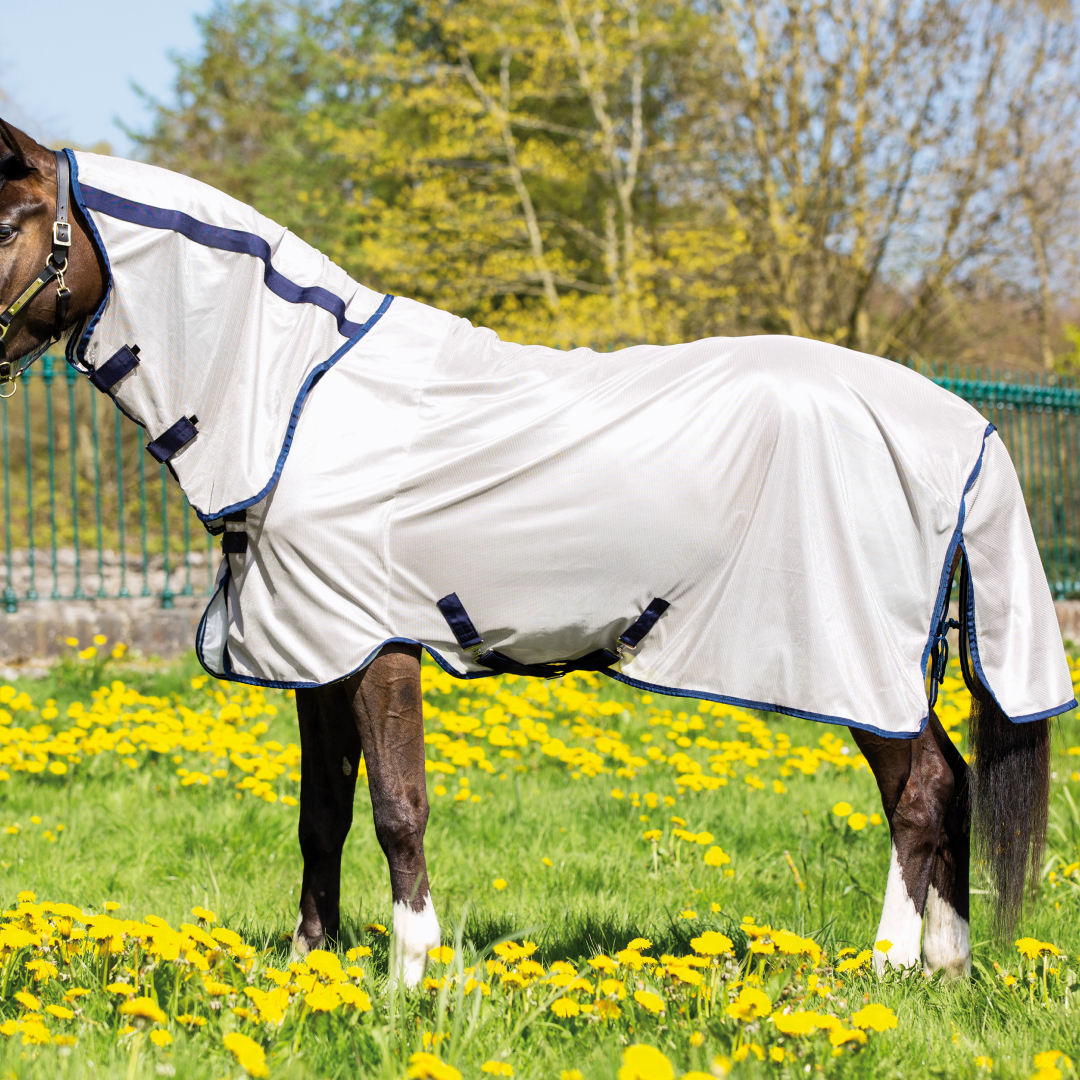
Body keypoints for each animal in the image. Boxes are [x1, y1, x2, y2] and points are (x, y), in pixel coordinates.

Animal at [0, 119, 1072, 987]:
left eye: (11, 223)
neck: (299, 396)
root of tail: (959, 421)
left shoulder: (377, 646)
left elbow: (397, 807)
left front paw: (412, 974)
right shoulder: (319, 653)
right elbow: (322, 815)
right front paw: (313, 968)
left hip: (857, 662)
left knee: (920, 794)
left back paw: (890, 966)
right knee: (948, 785)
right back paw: (943, 966)